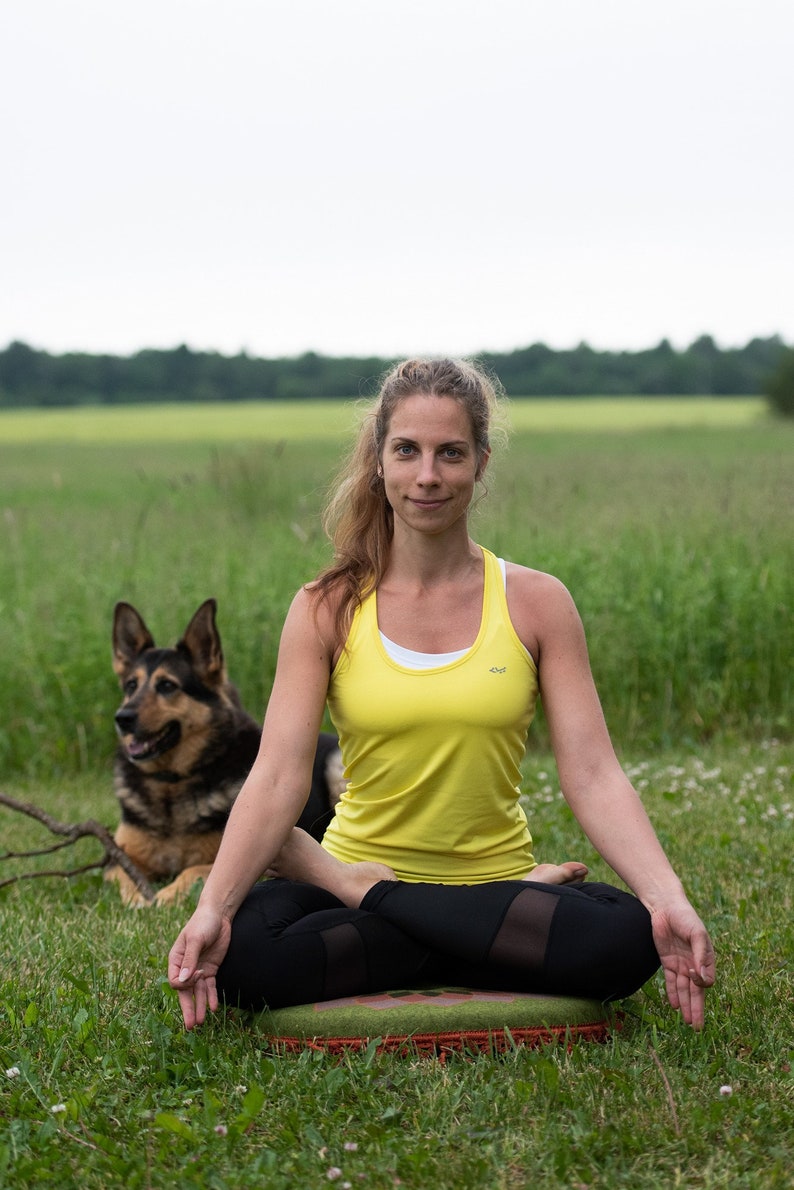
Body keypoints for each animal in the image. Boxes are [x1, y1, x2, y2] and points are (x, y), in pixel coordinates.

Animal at [107, 599, 342, 904]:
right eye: (131, 685)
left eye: (167, 685)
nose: (123, 718)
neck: (173, 784)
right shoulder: (117, 860)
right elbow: (126, 880)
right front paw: (138, 899)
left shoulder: (224, 859)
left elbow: (193, 870)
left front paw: (165, 895)